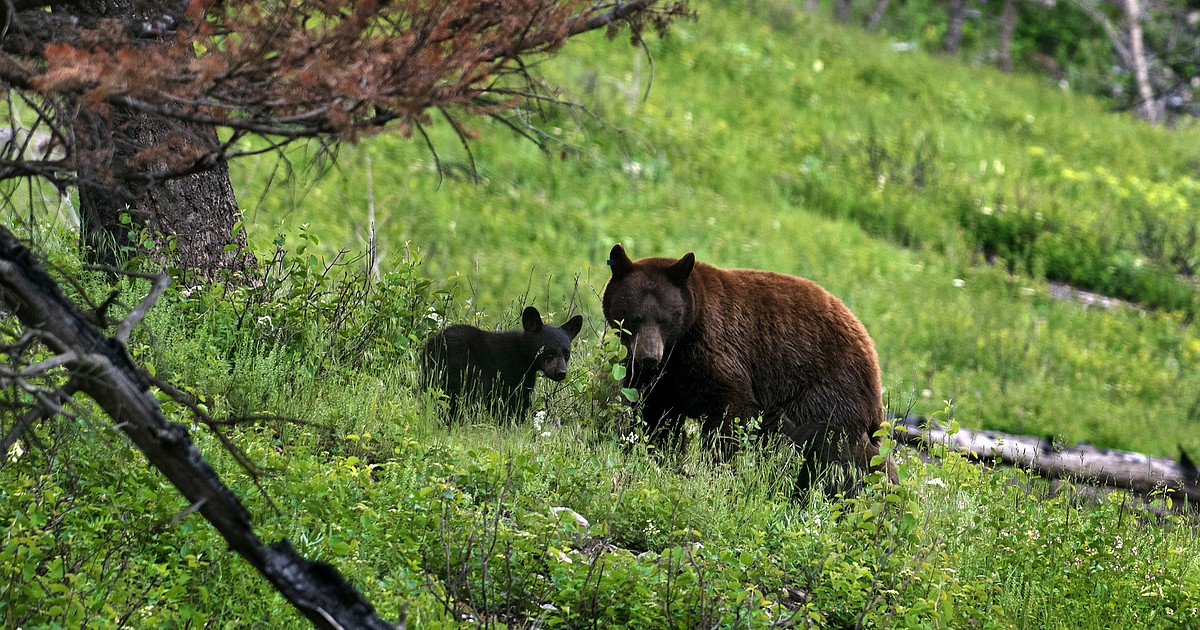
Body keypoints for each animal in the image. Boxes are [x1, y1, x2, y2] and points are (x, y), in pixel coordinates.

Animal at [421, 306, 584, 421]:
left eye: (567, 353)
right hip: (464, 369)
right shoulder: (510, 373)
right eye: (548, 352)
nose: (561, 373)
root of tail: (435, 345)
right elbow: (513, 403)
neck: (523, 356)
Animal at [601, 243, 897, 494]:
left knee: (828, 451)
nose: (649, 356)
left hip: (826, 392)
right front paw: (657, 453)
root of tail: (872, 356)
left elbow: (731, 409)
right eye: (635, 317)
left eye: (665, 319)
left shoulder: (715, 348)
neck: (680, 344)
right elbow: (655, 412)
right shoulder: (663, 376)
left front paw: (716, 468)